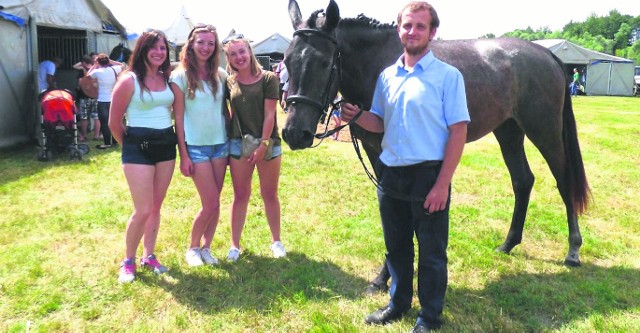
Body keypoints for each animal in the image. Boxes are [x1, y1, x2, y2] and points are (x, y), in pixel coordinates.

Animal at [280, 0, 592, 288]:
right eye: (286, 61)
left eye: (325, 62)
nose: (295, 133)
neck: (381, 66)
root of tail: (545, 53)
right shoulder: (373, 150)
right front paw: (384, 277)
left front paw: (387, 275)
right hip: (508, 131)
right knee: (522, 180)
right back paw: (508, 243)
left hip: (545, 131)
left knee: (564, 182)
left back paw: (573, 250)